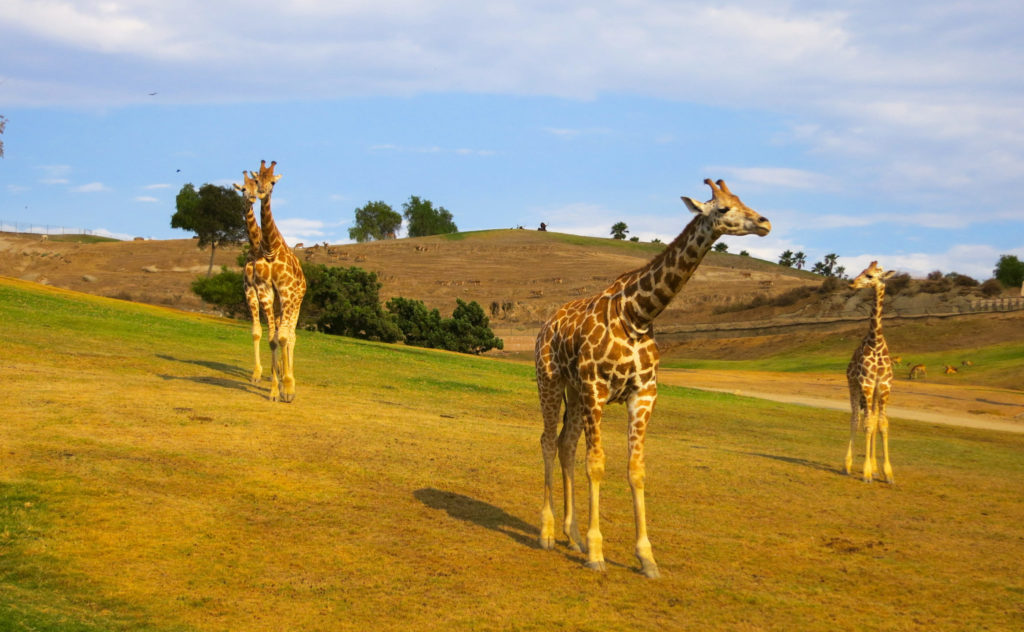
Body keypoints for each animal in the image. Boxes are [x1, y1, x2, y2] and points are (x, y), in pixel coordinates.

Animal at [536, 177, 770, 577]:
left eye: (743, 199)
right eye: (723, 208)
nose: (764, 222)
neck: (637, 315)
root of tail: (545, 327)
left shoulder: (643, 393)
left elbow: (636, 470)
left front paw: (646, 557)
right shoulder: (597, 389)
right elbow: (596, 465)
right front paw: (597, 553)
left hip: (575, 392)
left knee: (566, 445)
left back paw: (573, 536)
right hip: (549, 381)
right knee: (549, 442)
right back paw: (549, 534)